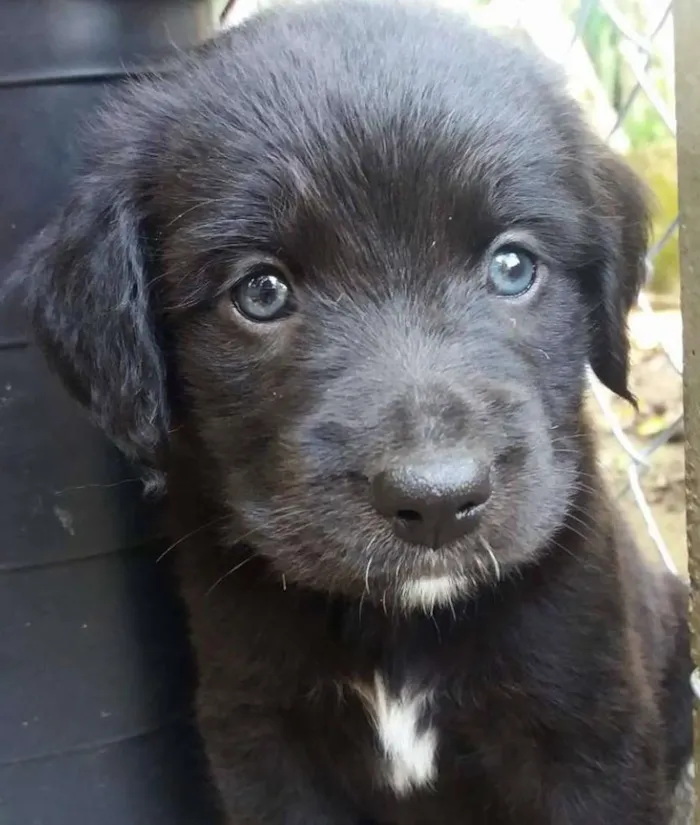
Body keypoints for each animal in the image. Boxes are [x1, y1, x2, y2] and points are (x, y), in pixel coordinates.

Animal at [17, 3, 696, 820]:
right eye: (261, 292)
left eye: (513, 266)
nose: (436, 502)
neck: (399, 620)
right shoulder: (256, 733)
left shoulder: (588, 731)